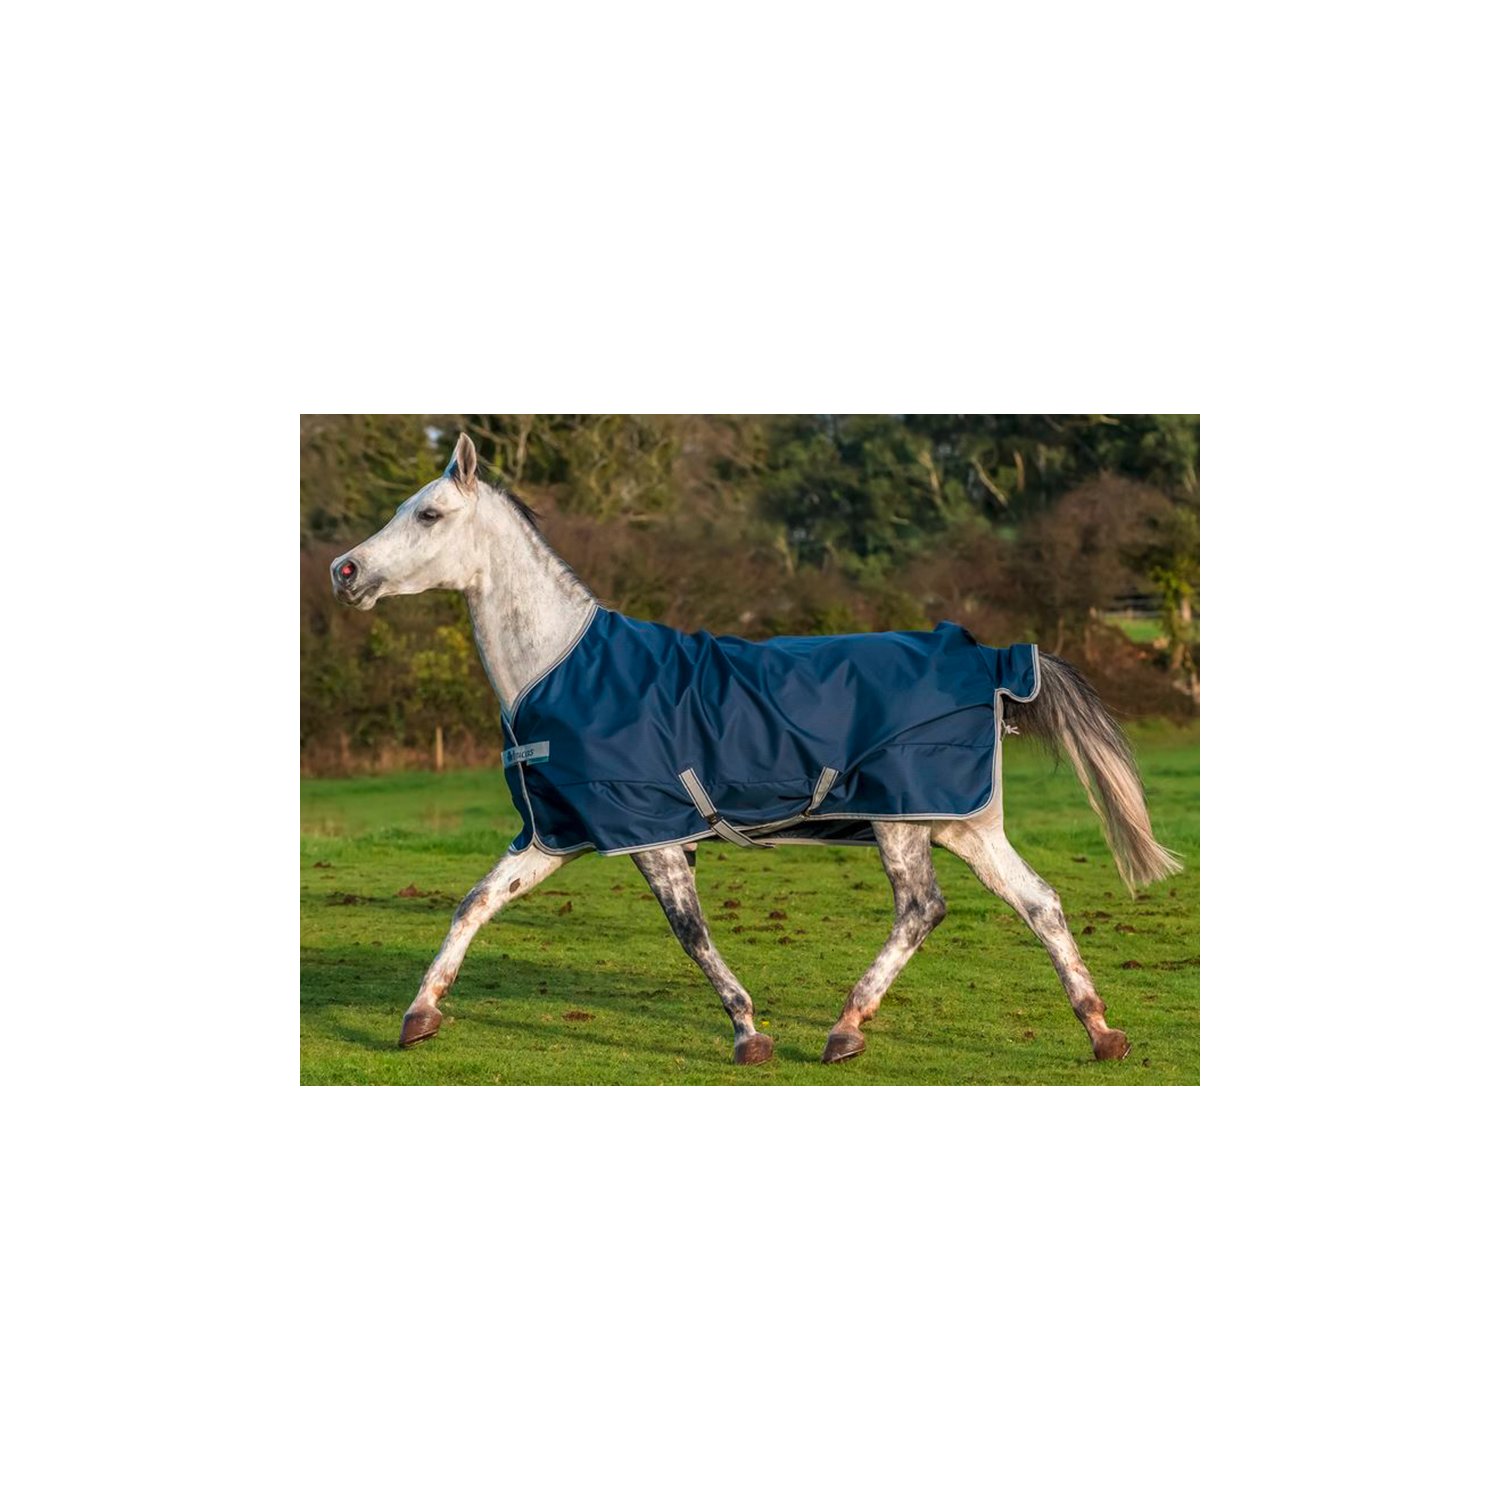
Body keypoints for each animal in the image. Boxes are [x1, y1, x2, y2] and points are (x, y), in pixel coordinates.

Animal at [330, 434, 1180, 1068]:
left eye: (429, 514)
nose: (345, 571)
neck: (561, 665)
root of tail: (988, 657)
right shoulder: (555, 834)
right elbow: (476, 902)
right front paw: (419, 1016)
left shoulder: (655, 836)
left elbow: (691, 934)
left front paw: (749, 1033)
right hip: (960, 822)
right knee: (1040, 903)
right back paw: (1101, 1032)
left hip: (902, 821)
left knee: (922, 908)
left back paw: (846, 1029)